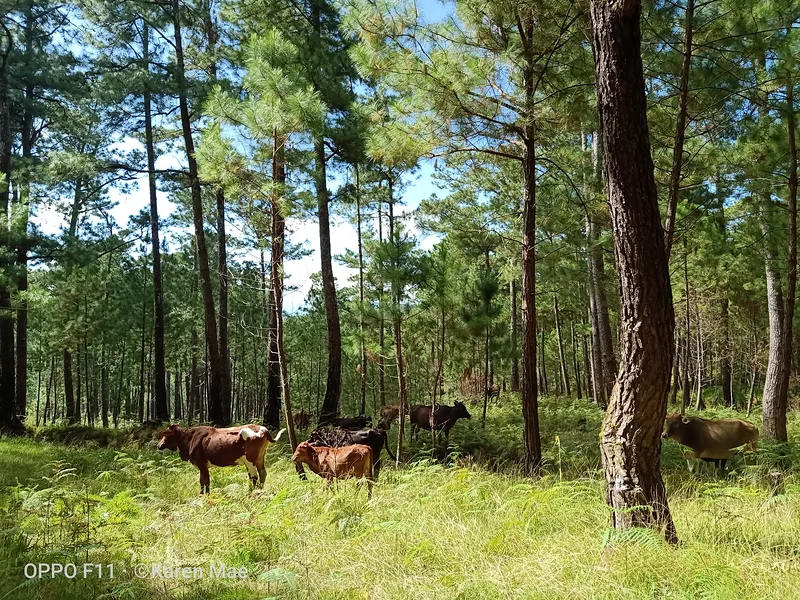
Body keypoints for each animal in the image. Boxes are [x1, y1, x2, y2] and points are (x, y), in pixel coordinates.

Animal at [157, 424, 285, 494]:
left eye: (166, 435)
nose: (159, 445)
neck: (189, 440)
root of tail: (263, 429)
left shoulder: (201, 463)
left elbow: (205, 481)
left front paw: (205, 496)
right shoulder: (202, 466)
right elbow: (203, 481)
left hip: (250, 460)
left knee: (254, 476)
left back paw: (252, 493)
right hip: (259, 458)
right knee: (262, 473)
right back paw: (258, 491)